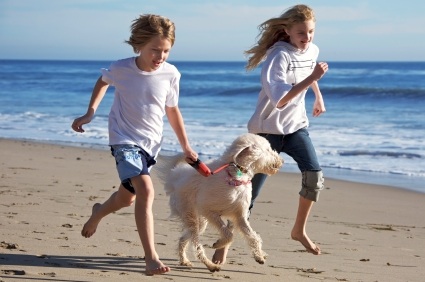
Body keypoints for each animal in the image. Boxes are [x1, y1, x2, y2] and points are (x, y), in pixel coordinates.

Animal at [156, 133, 282, 272]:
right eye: (268, 149)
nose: (281, 161)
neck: (235, 176)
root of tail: (174, 176)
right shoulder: (209, 211)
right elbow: (228, 234)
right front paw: (218, 243)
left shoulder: (240, 216)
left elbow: (252, 236)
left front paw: (259, 256)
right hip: (190, 215)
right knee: (196, 244)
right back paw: (210, 265)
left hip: (200, 222)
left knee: (183, 238)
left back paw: (184, 260)